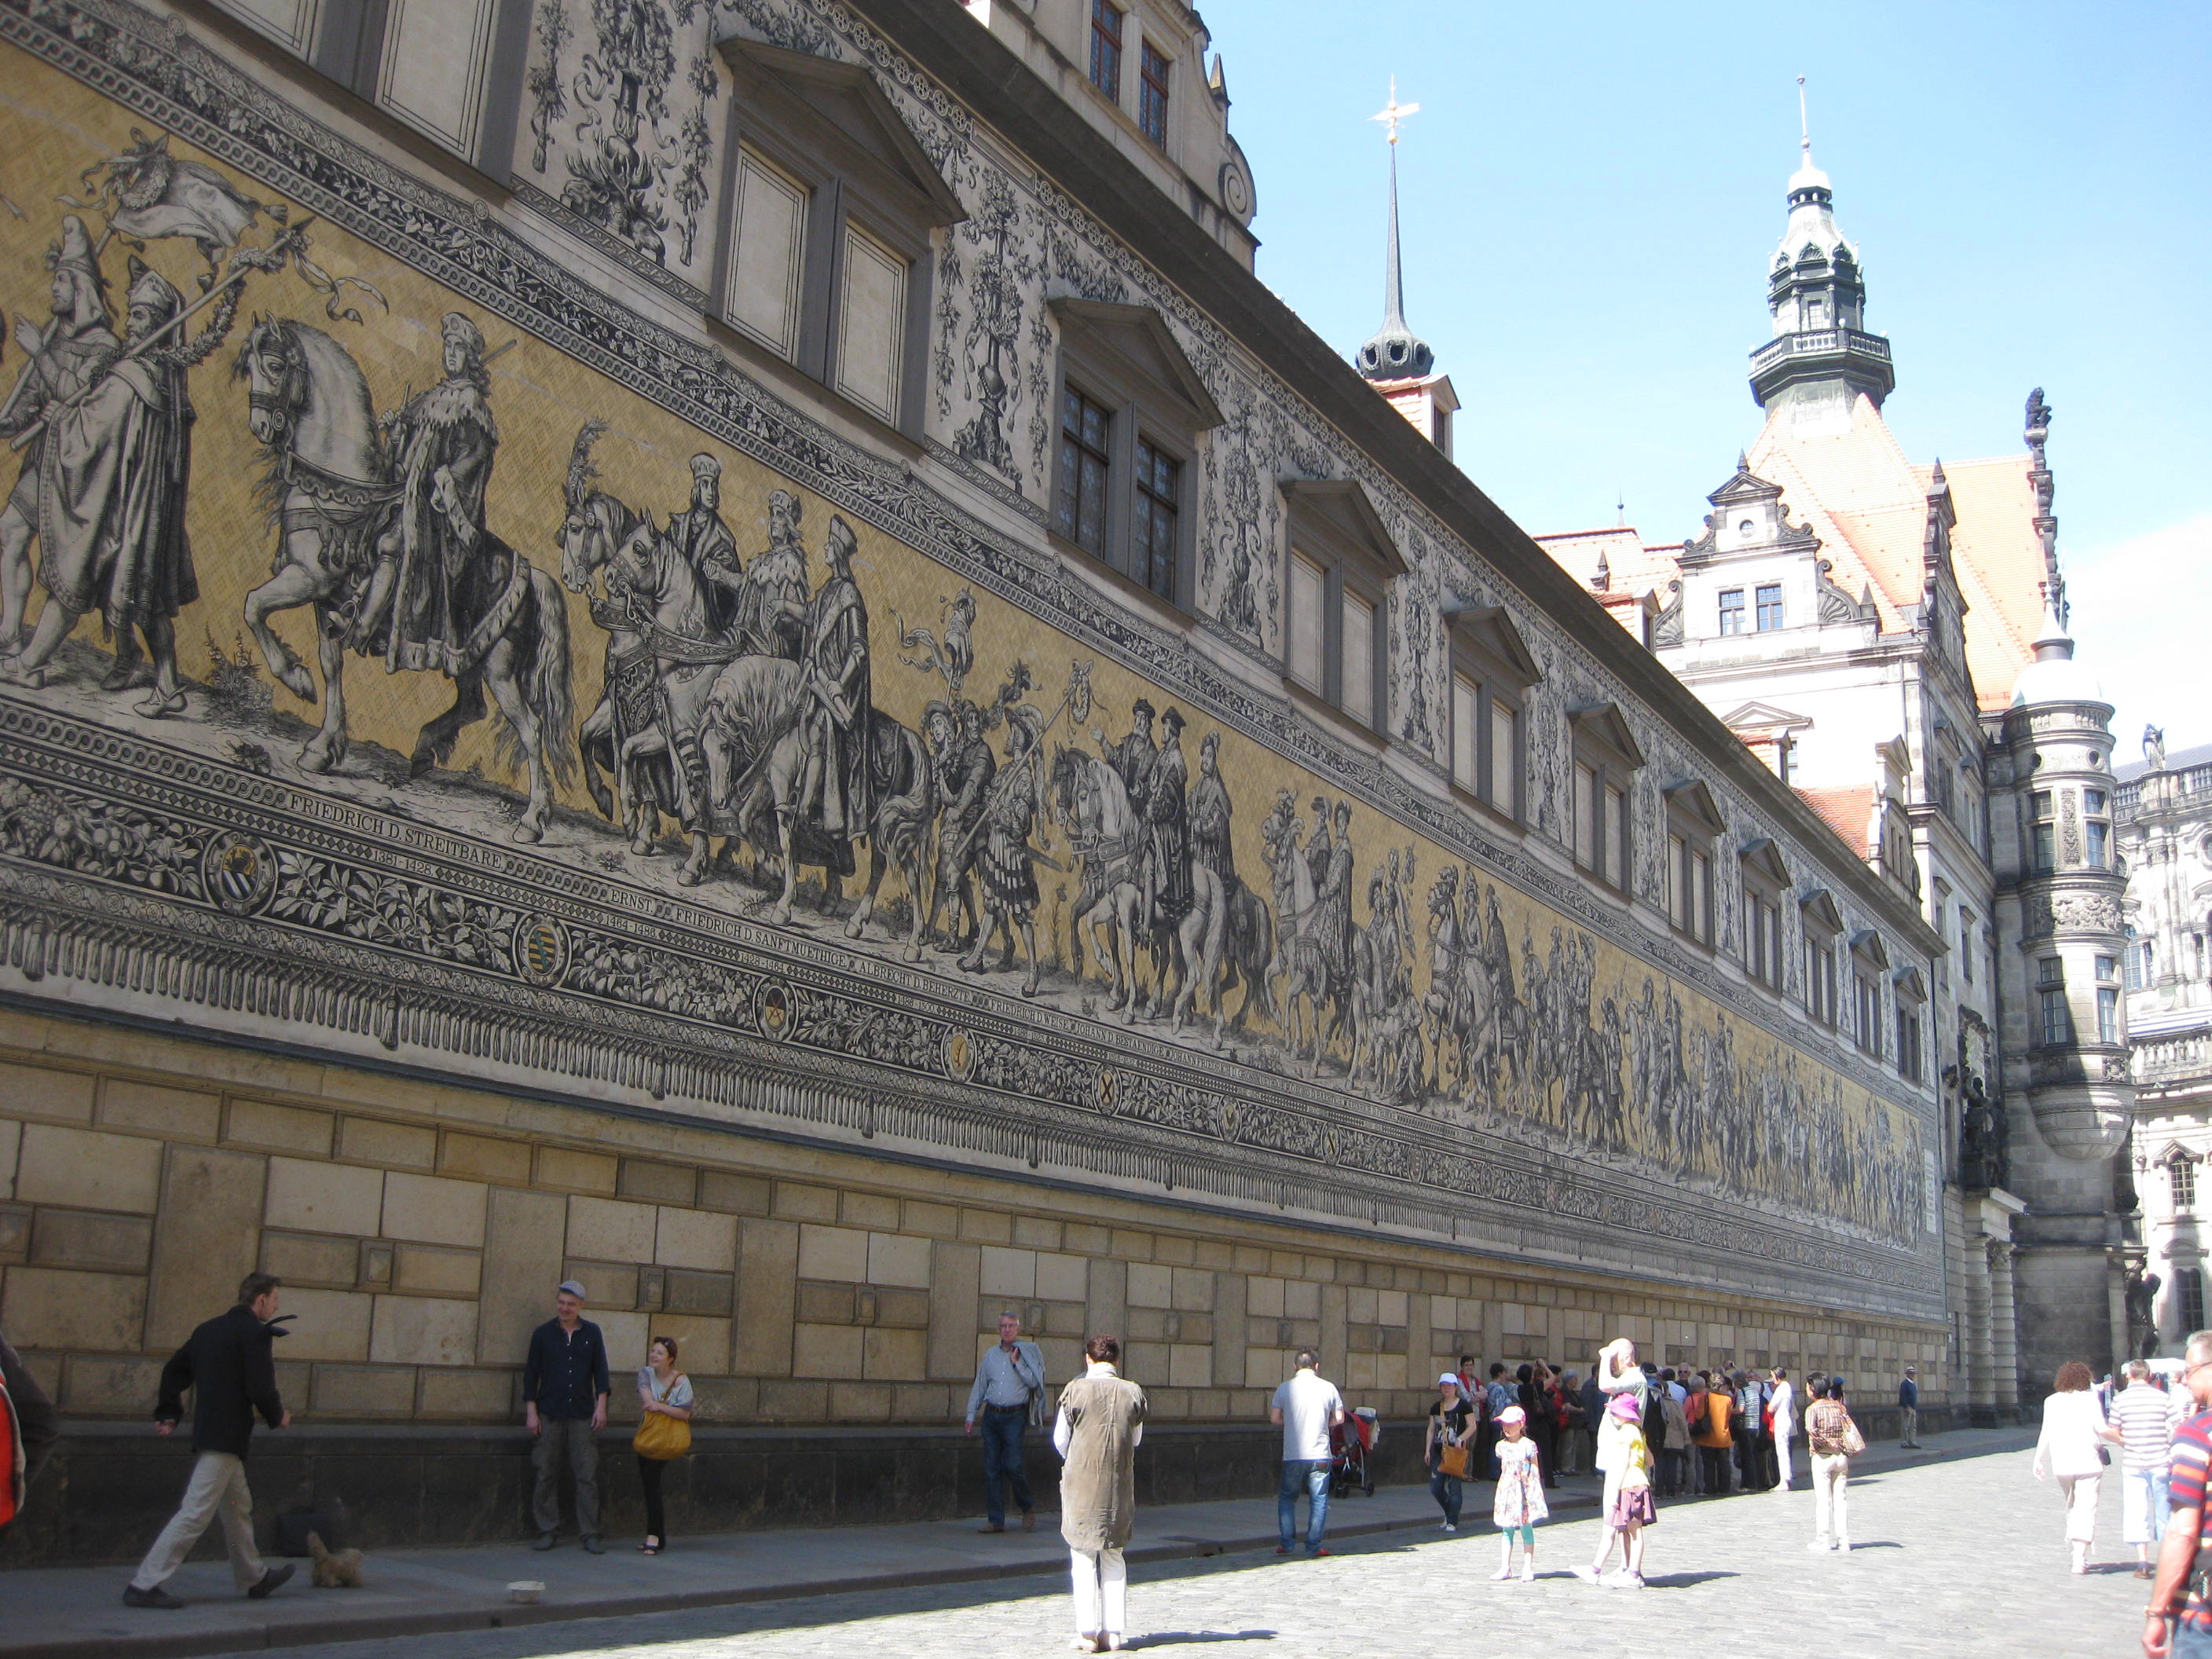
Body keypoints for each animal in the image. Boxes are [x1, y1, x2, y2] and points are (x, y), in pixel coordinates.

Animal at [234, 320, 575, 844]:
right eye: (246, 365)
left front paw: (295, 679)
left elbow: (253, 606)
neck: (340, 492)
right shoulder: (324, 600)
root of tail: (532, 573)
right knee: (474, 707)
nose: (262, 427)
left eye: (273, 364)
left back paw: (533, 819)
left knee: (531, 728)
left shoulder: (308, 578)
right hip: (469, 656)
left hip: (500, 665)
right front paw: (323, 746)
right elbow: (330, 664)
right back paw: (423, 750)